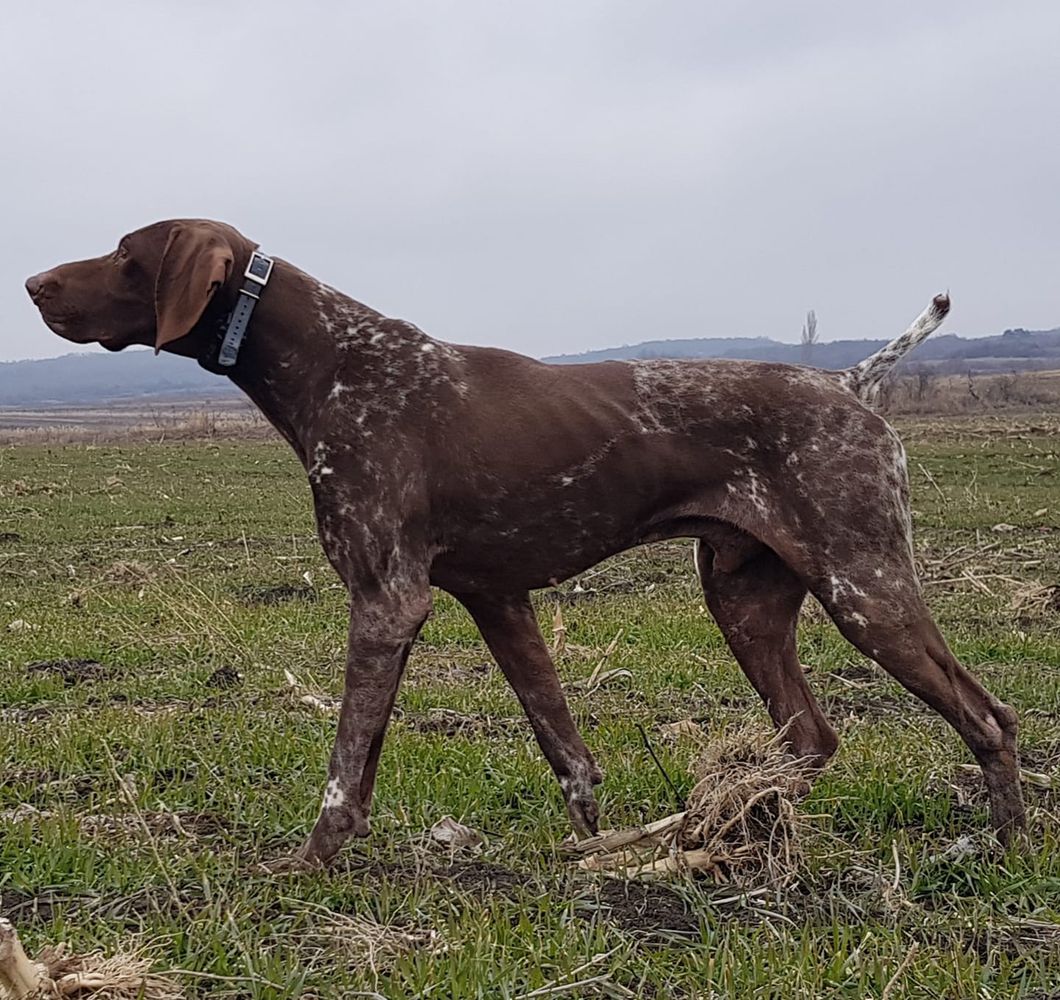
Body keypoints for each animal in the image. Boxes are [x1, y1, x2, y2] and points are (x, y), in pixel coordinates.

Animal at [24, 222, 1021, 865]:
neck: (335, 363)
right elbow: (566, 754)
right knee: (810, 737)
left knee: (987, 718)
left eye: (125, 256)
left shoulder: (388, 600)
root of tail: (851, 383)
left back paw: (997, 847)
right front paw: (595, 857)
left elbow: (345, 771)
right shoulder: (494, 600)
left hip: (864, 587)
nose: (33, 285)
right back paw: (708, 834)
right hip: (745, 600)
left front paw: (307, 868)